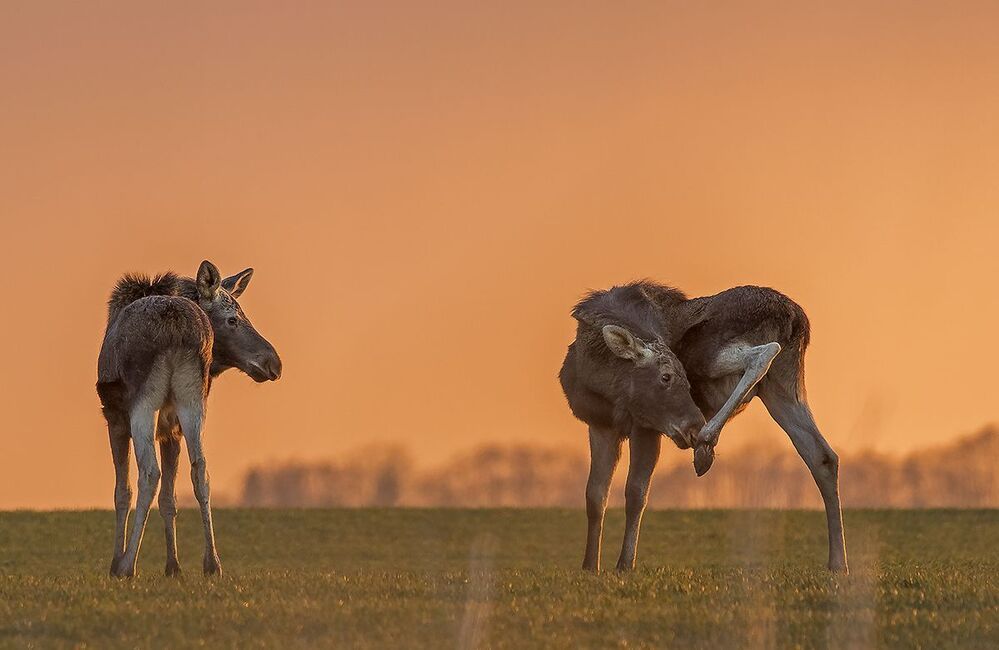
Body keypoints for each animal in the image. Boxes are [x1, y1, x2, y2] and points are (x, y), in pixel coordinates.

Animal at [96, 261, 282, 578]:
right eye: (233, 319)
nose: (275, 363)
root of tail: (178, 327)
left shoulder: (115, 418)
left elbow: (122, 491)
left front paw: (115, 562)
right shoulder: (172, 429)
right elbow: (170, 498)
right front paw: (173, 565)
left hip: (143, 403)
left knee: (150, 473)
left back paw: (128, 565)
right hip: (193, 400)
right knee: (201, 471)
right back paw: (213, 563)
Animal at [559, 281, 848, 574]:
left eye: (683, 379)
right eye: (666, 377)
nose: (692, 426)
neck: (599, 379)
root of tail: (795, 318)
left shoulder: (647, 426)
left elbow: (636, 492)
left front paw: (625, 564)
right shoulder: (600, 425)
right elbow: (595, 495)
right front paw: (589, 566)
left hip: (709, 354)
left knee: (763, 354)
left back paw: (706, 442)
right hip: (783, 387)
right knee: (823, 456)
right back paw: (838, 562)